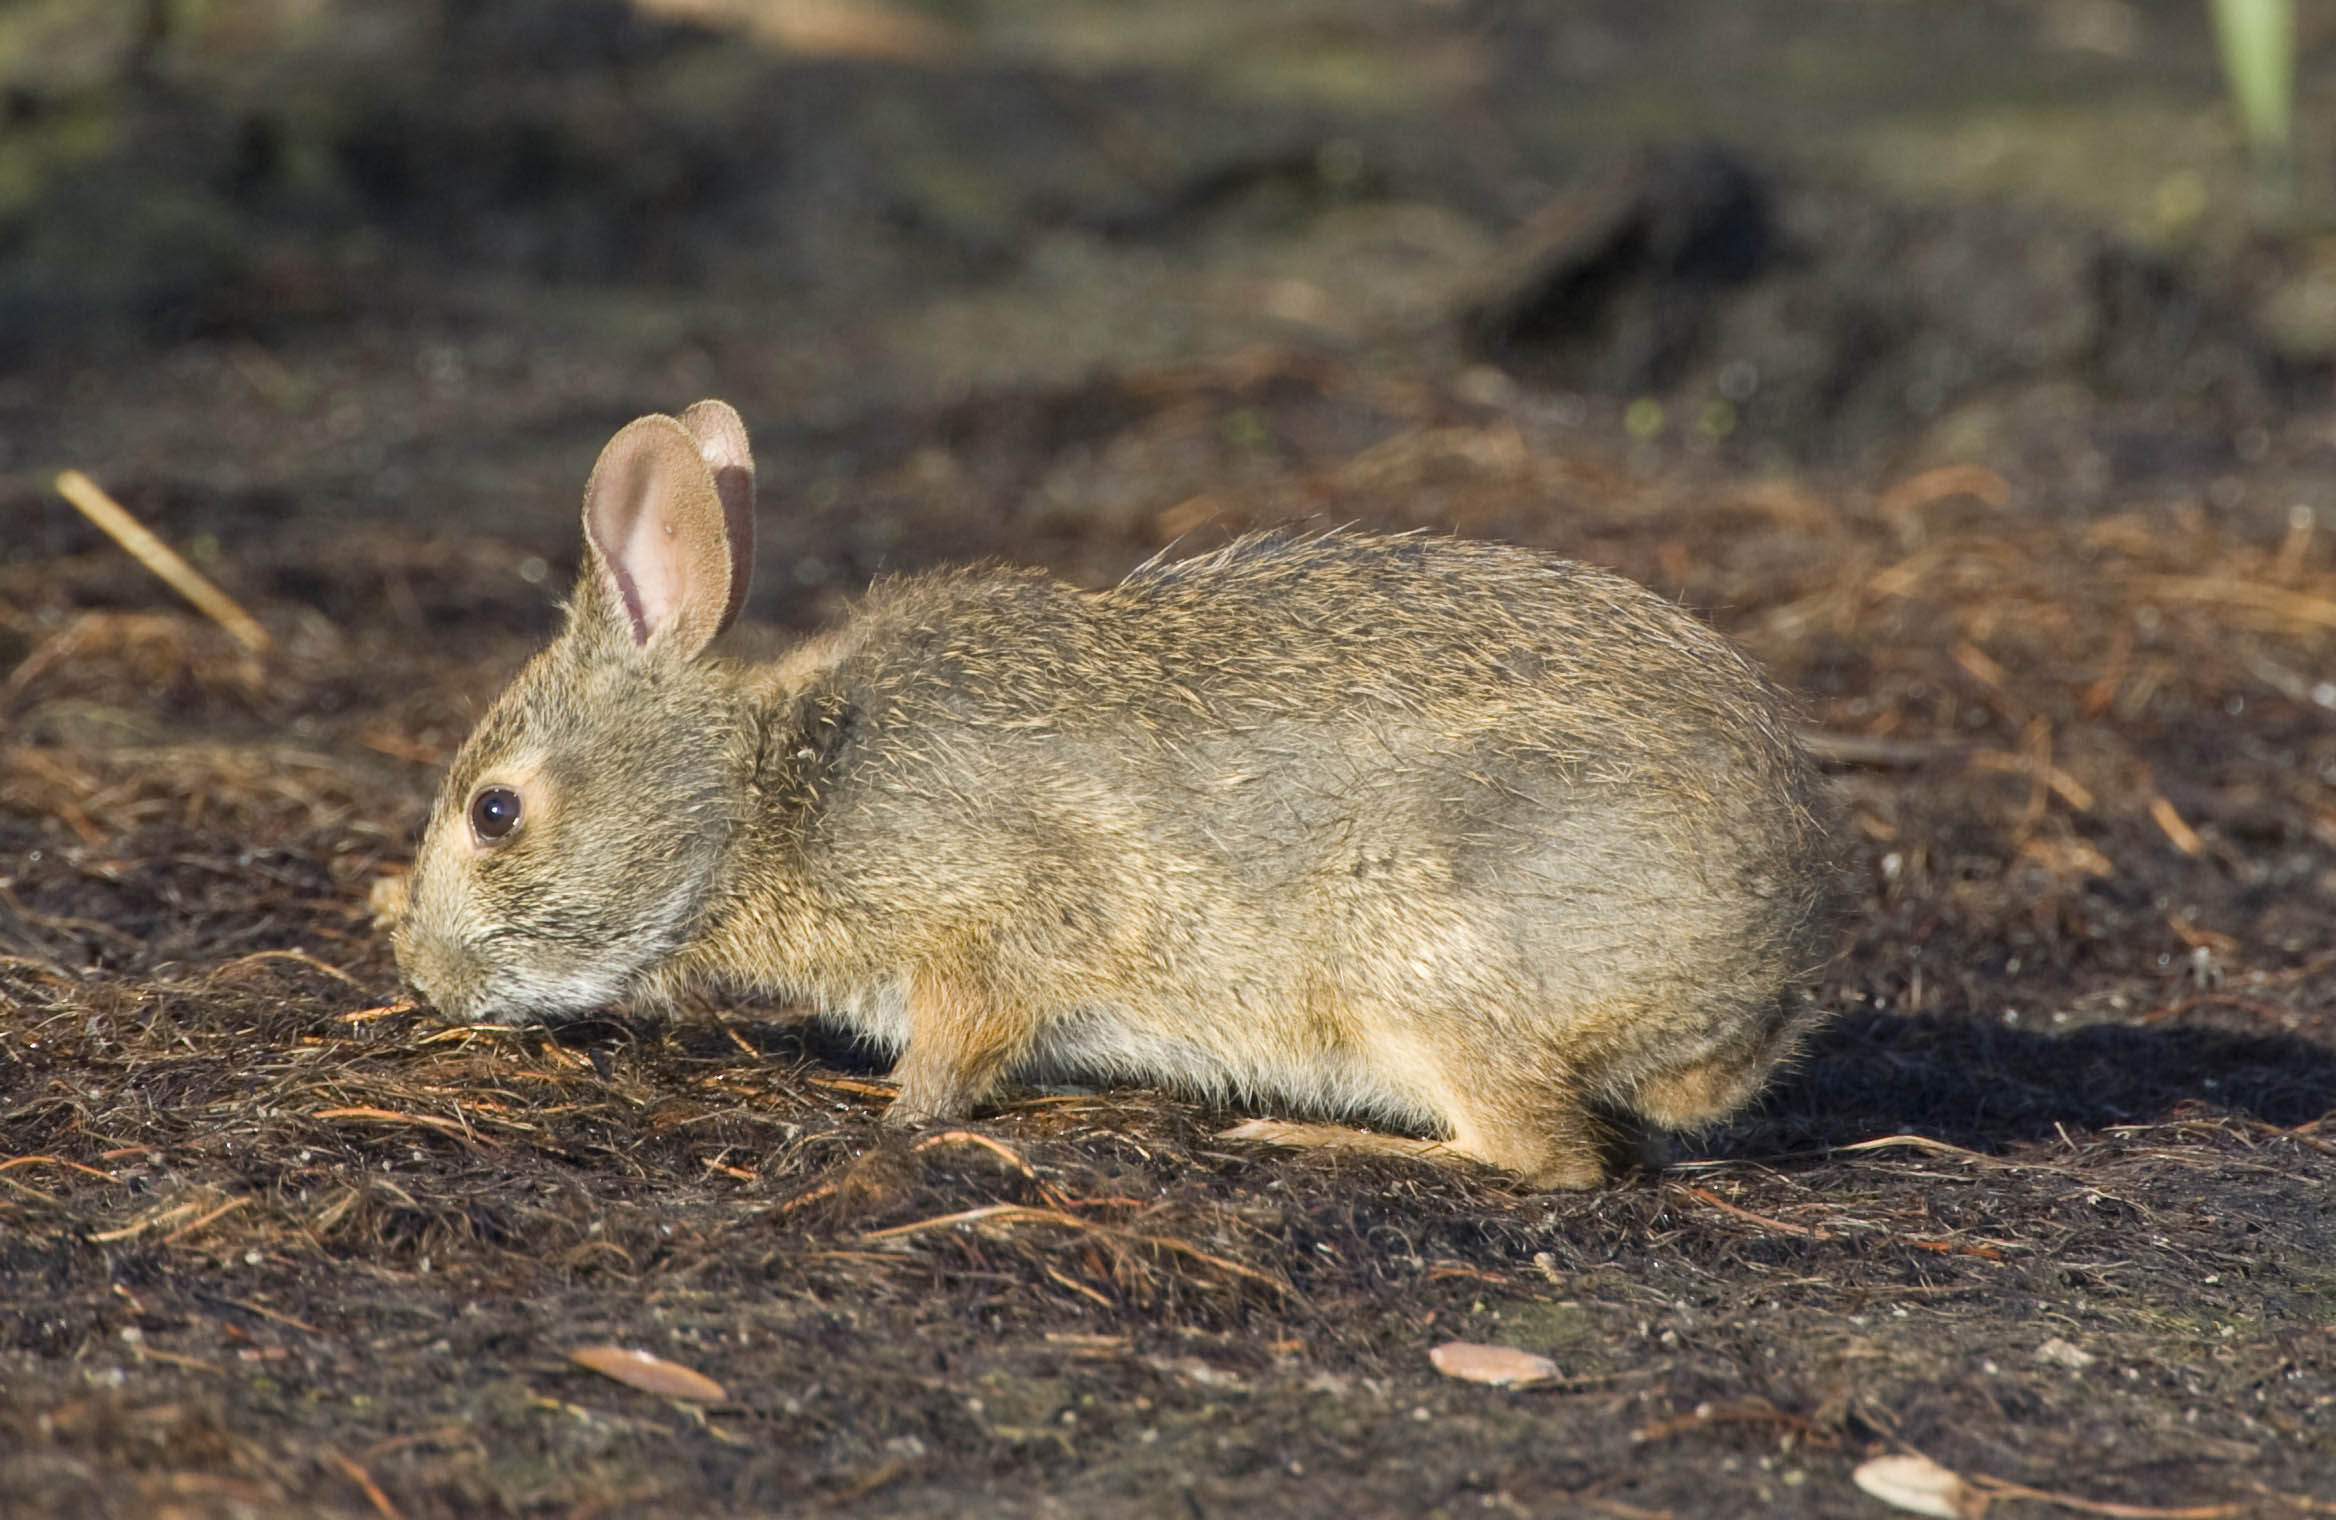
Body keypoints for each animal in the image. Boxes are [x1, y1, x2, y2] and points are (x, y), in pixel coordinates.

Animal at [392, 399, 1842, 1189]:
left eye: (494, 812)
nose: (423, 972)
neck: (764, 800)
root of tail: (1754, 974)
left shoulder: (994, 924)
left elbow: (958, 1047)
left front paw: (891, 1117)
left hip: (1421, 962)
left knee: (1539, 1153)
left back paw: (1305, 1138)